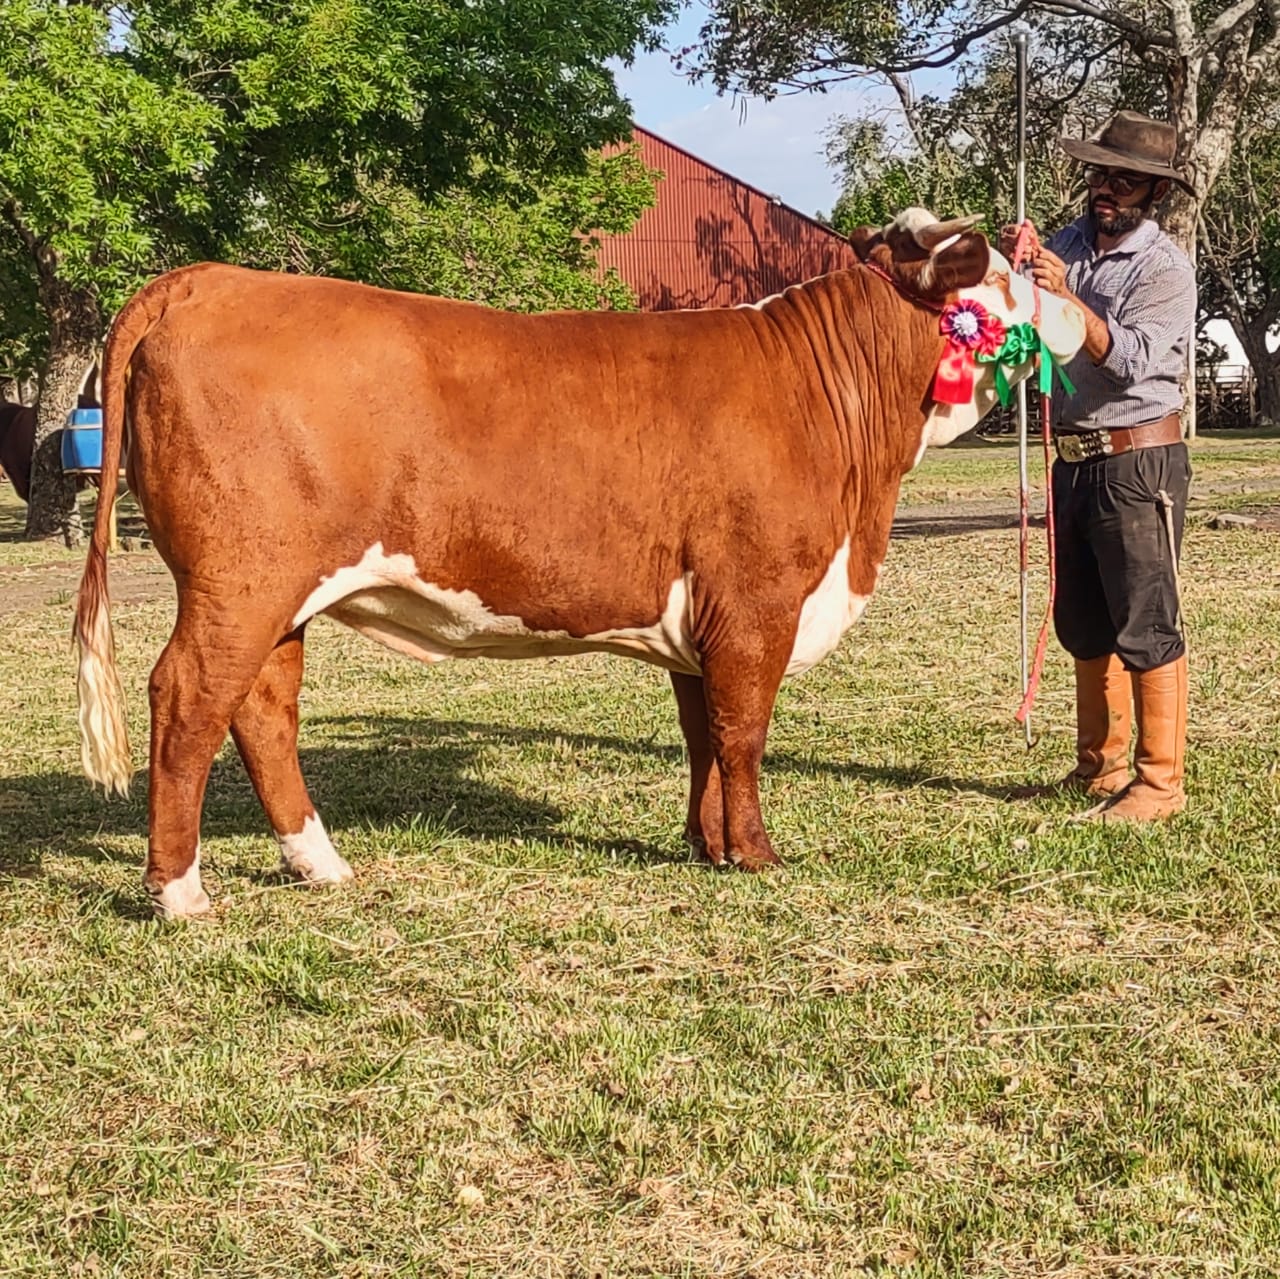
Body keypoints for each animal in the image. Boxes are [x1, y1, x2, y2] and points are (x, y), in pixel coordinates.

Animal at [73, 208, 1085, 919]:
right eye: (1001, 277)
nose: (1074, 312)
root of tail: (211, 281)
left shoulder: (702, 615)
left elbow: (704, 735)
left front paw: (707, 846)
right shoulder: (757, 599)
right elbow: (745, 733)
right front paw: (758, 855)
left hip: (279, 594)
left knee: (262, 709)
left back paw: (319, 863)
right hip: (240, 581)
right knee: (190, 696)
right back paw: (180, 892)